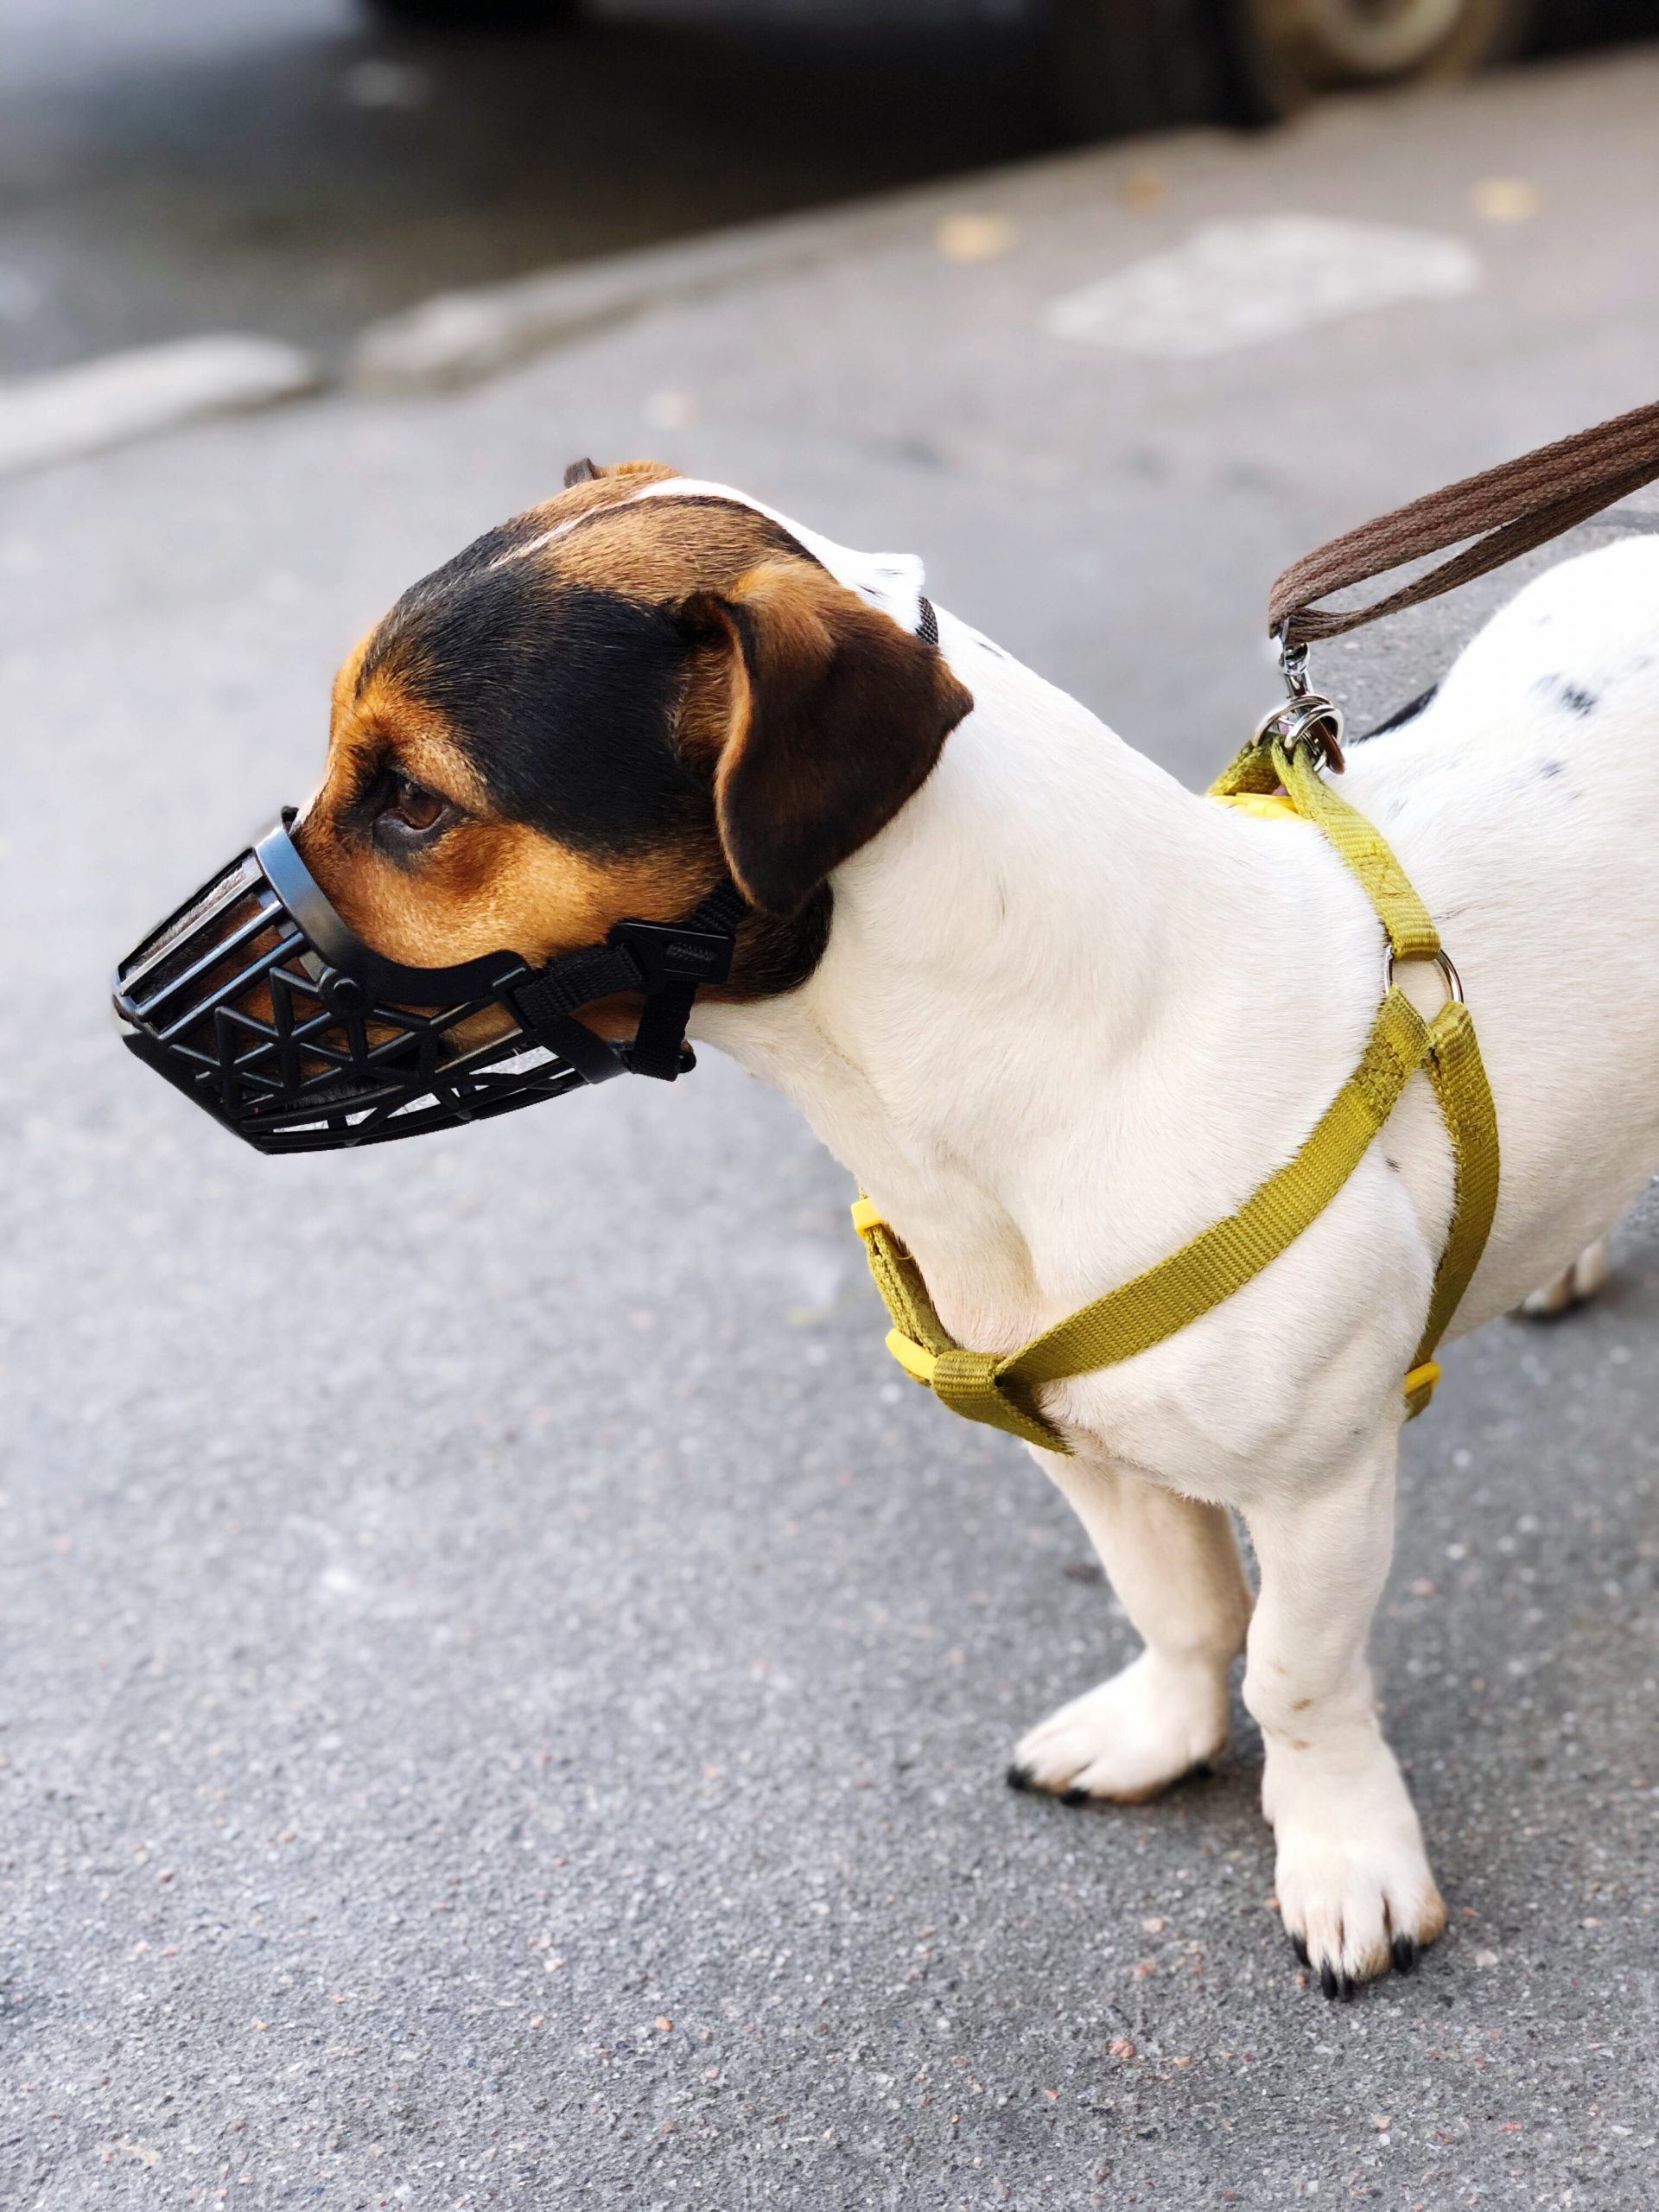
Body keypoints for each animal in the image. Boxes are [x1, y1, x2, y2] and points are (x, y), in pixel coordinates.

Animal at [291, 457, 1659, 1999]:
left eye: (415, 803)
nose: (141, 1025)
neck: (1076, 1061)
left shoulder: (1325, 1483)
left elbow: (1294, 1674)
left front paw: (1341, 1851)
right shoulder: (1083, 1450)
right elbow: (1181, 1615)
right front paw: (1162, 1734)